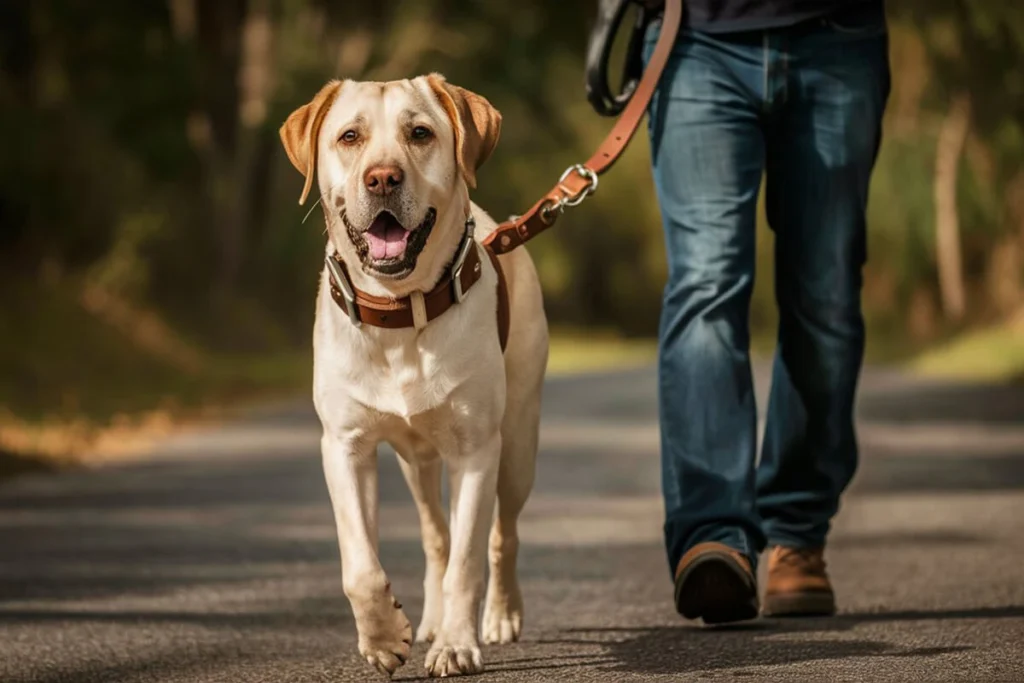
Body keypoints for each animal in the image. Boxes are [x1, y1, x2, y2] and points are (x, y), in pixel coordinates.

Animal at [280, 76, 548, 679]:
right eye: (349, 137)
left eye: (420, 133)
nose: (382, 177)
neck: (400, 313)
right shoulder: (344, 446)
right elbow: (360, 564)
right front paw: (385, 637)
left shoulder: (477, 450)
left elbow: (469, 559)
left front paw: (456, 644)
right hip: (416, 464)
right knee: (434, 536)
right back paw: (429, 620)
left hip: (517, 445)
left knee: (503, 534)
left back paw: (499, 615)